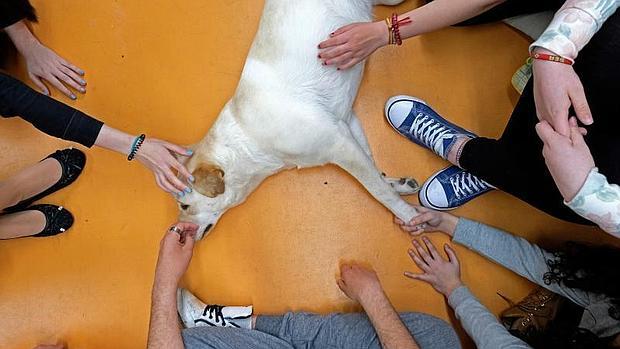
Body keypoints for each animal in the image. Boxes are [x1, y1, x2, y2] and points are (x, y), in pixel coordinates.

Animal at [182, 0, 418, 239]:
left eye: (184, 206)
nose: (179, 232)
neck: (247, 140)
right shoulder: (347, 121)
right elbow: (373, 166)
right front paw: (397, 184)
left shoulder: (340, 145)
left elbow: (377, 190)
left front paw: (410, 216)